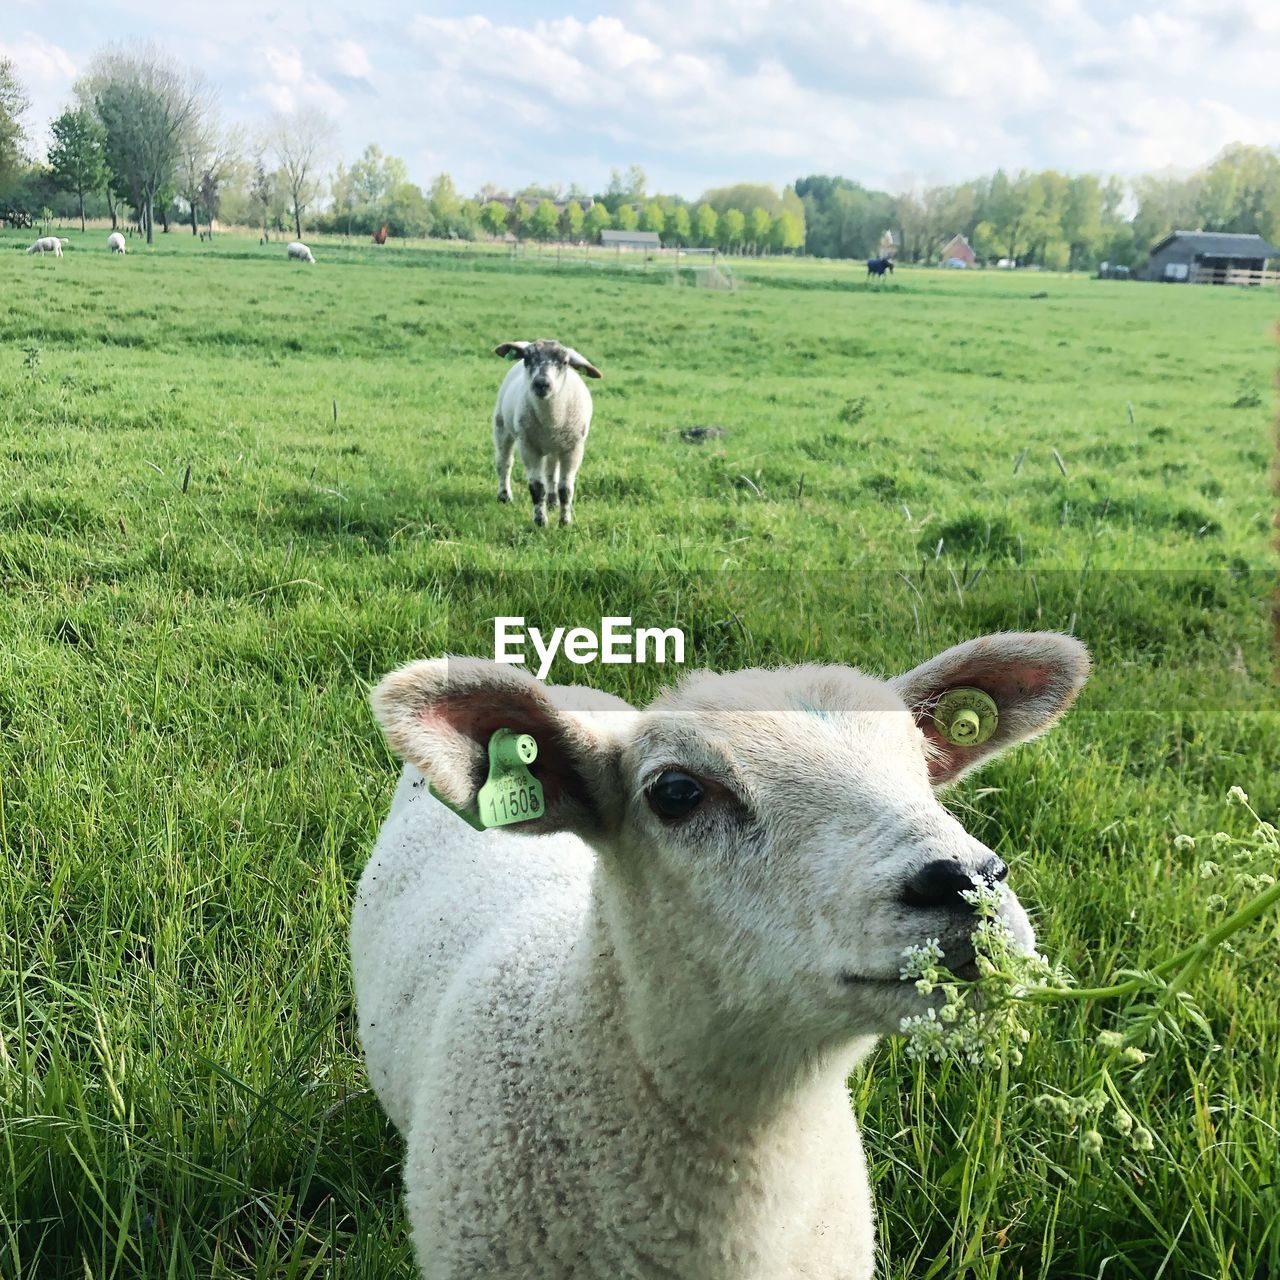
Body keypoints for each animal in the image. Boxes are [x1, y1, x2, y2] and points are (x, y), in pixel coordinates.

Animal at [494, 337, 604, 527]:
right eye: (527, 358)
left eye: (565, 362)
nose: (541, 384)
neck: (551, 421)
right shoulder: (529, 446)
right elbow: (537, 487)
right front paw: (540, 522)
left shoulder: (573, 448)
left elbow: (566, 488)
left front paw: (565, 522)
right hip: (502, 424)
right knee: (504, 462)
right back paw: (504, 496)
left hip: (555, 446)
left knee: (551, 473)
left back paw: (553, 502)